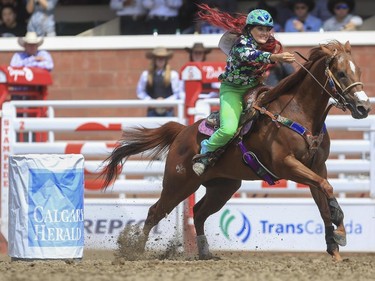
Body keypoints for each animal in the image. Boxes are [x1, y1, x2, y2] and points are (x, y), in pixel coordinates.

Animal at [101, 40, 372, 262]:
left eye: (358, 71)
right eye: (340, 73)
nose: (363, 107)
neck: (298, 113)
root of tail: (182, 132)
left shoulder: (317, 167)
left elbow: (323, 200)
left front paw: (335, 246)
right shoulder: (286, 164)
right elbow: (327, 189)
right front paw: (340, 227)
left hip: (223, 187)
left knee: (199, 213)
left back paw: (205, 252)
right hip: (178, 185)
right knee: (154, 212)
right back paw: (136, 252)